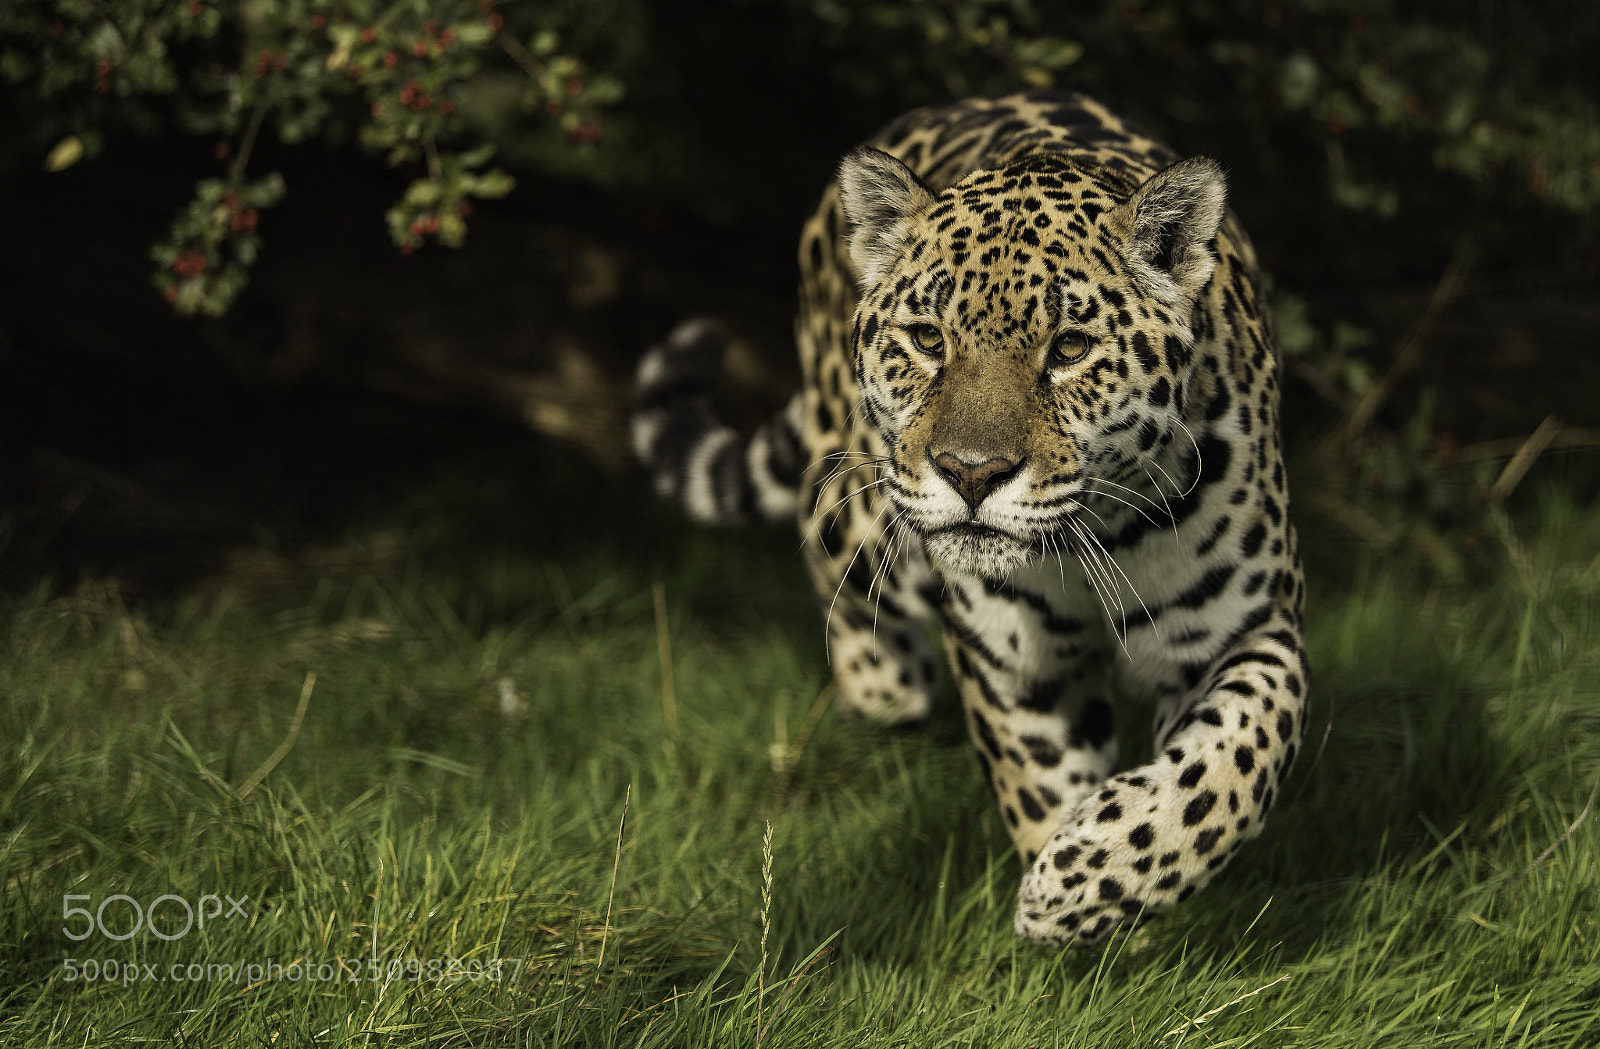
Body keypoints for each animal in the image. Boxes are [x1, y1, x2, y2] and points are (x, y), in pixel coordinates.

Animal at [633, 91, 1308, 947]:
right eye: (928, 338)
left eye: (1071, 347)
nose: (971, 472)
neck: (1099, 532)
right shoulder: (1016, 665)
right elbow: (1044, 781)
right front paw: (1076, 899)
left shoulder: (1249, 624)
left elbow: (1230, 763)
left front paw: (1081, 881)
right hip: (865, 500)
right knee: (827, 536)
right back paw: (886, 680)